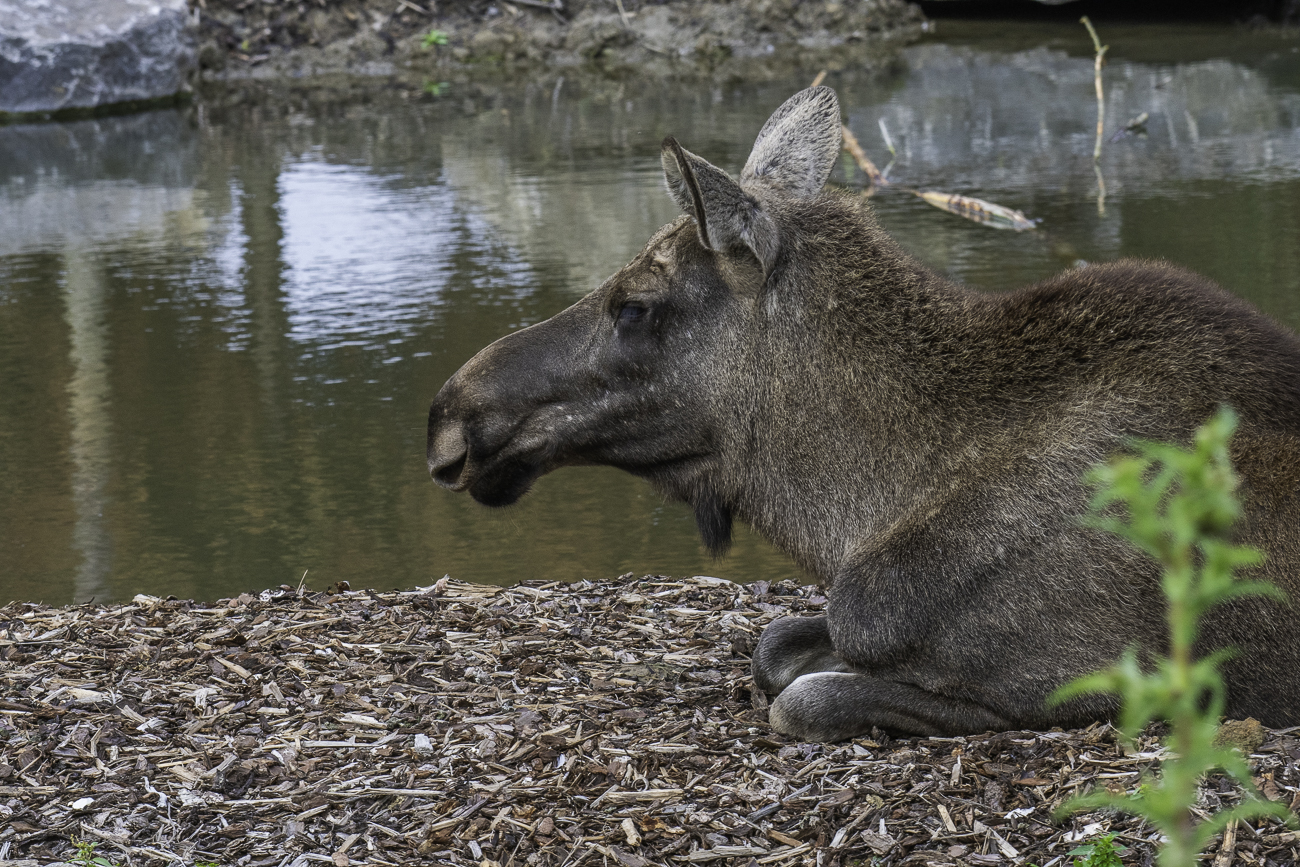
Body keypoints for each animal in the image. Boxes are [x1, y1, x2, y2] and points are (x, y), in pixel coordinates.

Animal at [431, 86, 1300, 738]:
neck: (851, 512)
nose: (449, 411)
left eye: (635, 306)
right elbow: (776, 642)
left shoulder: (1097, 680)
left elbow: (804, 697)